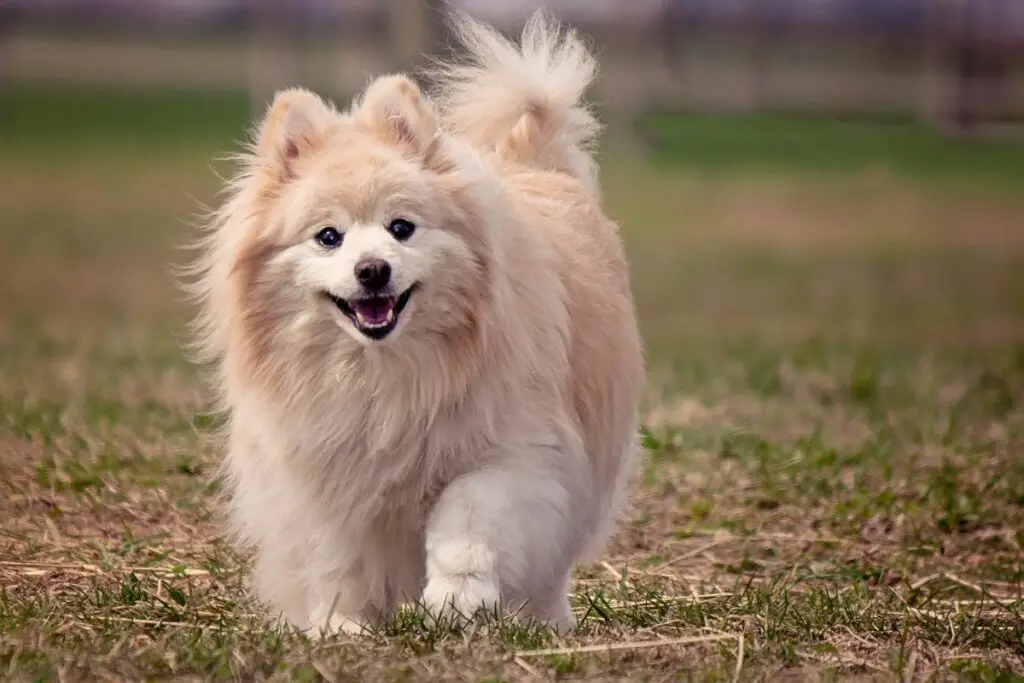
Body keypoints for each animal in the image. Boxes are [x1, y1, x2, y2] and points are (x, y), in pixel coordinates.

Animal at [188, 9, 643, 634]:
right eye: (328, 237)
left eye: (401, 227)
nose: (372, 269)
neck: (383, 374)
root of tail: (535, 161)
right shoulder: (322, 473)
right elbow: (337, 557)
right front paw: (339, 625)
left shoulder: (512, 452)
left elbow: (466, 520)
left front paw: (457, 598)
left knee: (552, 559)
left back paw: (543, 620)